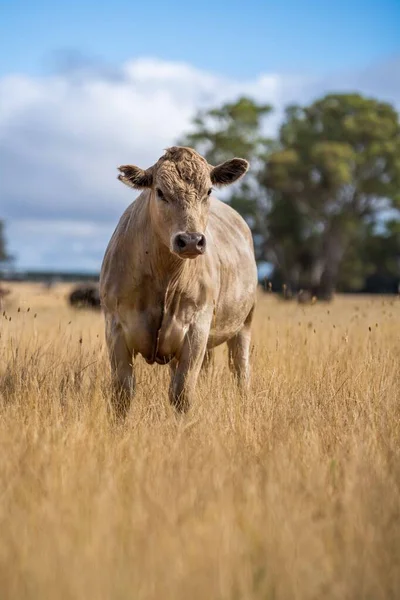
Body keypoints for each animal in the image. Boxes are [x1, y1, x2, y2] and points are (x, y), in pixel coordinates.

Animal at [99, 146, 258, 420]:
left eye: (208, 191)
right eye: (160, 192)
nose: (191, 240)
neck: (163, 279)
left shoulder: (196, 329)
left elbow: (182, 394)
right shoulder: (115, 328)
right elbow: (123, 393)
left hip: (244, 322)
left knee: (240, 369)